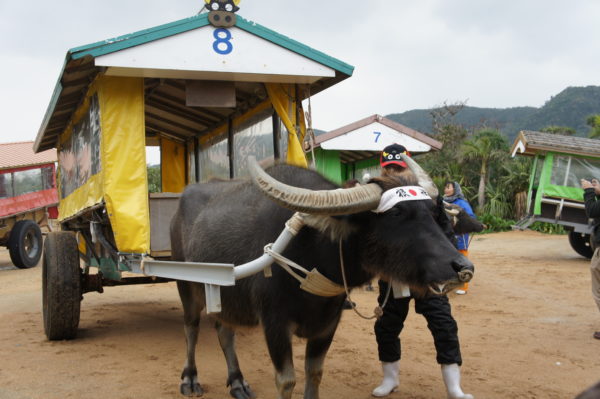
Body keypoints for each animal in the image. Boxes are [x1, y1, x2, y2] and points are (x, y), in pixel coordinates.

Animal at [169, 155, 474, 399]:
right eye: (397, 213)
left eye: (432, 212)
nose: (462, 267)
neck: (315, 250)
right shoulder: (274, 323)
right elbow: (286, 380)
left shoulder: (328, 323)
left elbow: (314, 373)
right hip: (187, 286)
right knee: (191, 328)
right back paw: (190, 378)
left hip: (225, 294)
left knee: (224, 331)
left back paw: (237, 382)